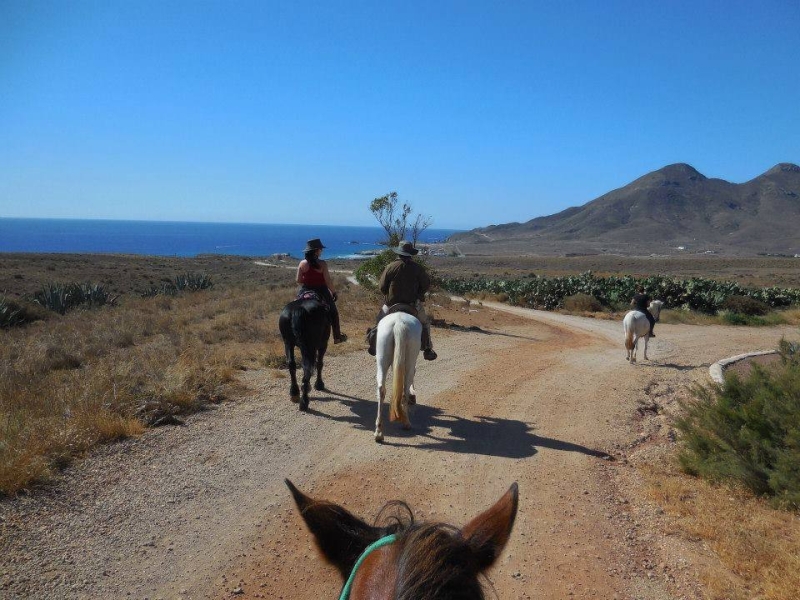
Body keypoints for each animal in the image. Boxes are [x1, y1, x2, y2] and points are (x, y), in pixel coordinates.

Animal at [376, 312, 424, 442]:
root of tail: (398, 322)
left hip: (382, 359)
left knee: (381, 389)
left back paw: (379, 432)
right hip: (410, 360)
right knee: (404, 390)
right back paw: (406, 423)